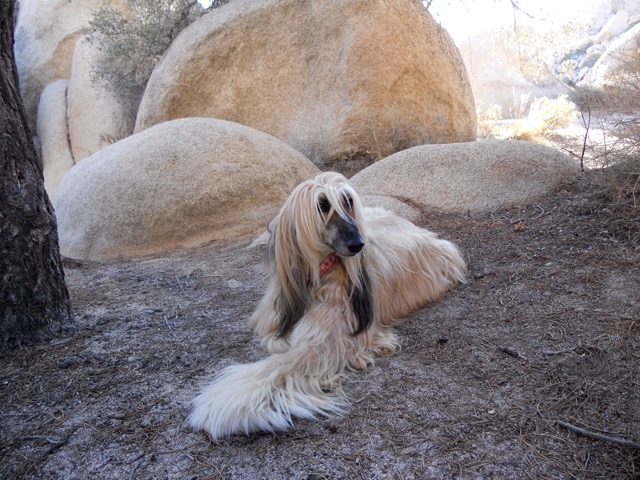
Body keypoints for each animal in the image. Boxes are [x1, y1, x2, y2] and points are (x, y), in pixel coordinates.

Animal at [185, 171, 464, 440]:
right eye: (322, 205)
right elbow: (275, 341)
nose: (358, 244)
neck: (317, 275)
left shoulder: (330, 341)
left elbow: (282, 364)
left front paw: (226, 403)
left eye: (348, 201)